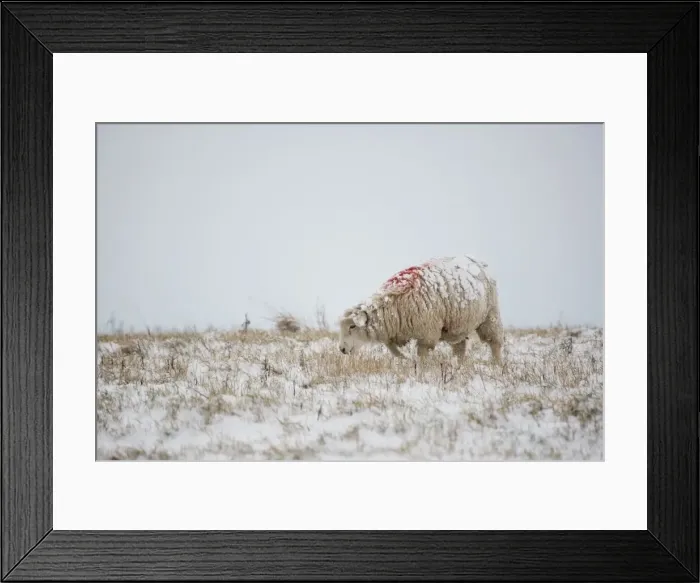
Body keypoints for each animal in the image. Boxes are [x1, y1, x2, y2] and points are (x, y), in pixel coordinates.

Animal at [338, 255, 503, 364]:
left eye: (352, 326)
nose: (342, 349)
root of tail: (479, 263)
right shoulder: (394, 333)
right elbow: (393, 350)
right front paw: (406, 359)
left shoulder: (427, 335)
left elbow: (422, 356)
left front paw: (420, 372)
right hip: (457, 326)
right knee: (460, 349)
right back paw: (459, 367)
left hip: (490, 316)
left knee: (494, 343)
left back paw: (496, 365)